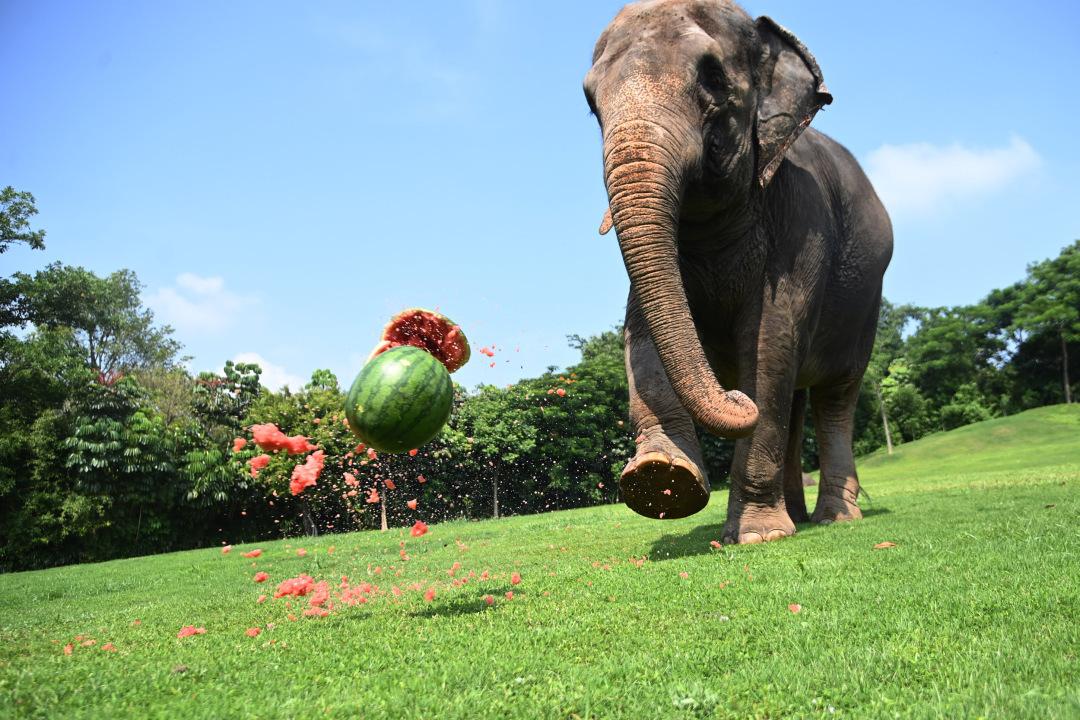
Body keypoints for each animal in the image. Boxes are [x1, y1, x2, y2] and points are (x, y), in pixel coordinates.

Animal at [583, 0, 894, 539]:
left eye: (713, 78)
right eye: (589, 102)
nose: (733, 396)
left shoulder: (800, 224)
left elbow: (769, 345)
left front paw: (756, 535)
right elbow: (640, 333)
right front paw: (660, 478)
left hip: (866, 304)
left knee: (835, 397)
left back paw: (834, 517)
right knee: (796, 401)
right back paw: (797, 516)